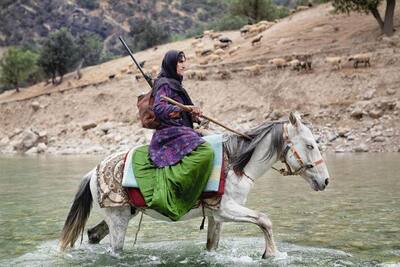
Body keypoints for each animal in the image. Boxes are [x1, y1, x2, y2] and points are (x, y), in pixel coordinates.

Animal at [58, 113, 328, 260]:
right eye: (310, 145)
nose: (325, 181)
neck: (236, 165)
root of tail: (93, 172)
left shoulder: (216, 218)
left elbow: (212, 247)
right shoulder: (226, 210)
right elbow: (265, 219)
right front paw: (270, 254)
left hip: (124, 214)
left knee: (93, 235)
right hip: (118, 220)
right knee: (114, 248)